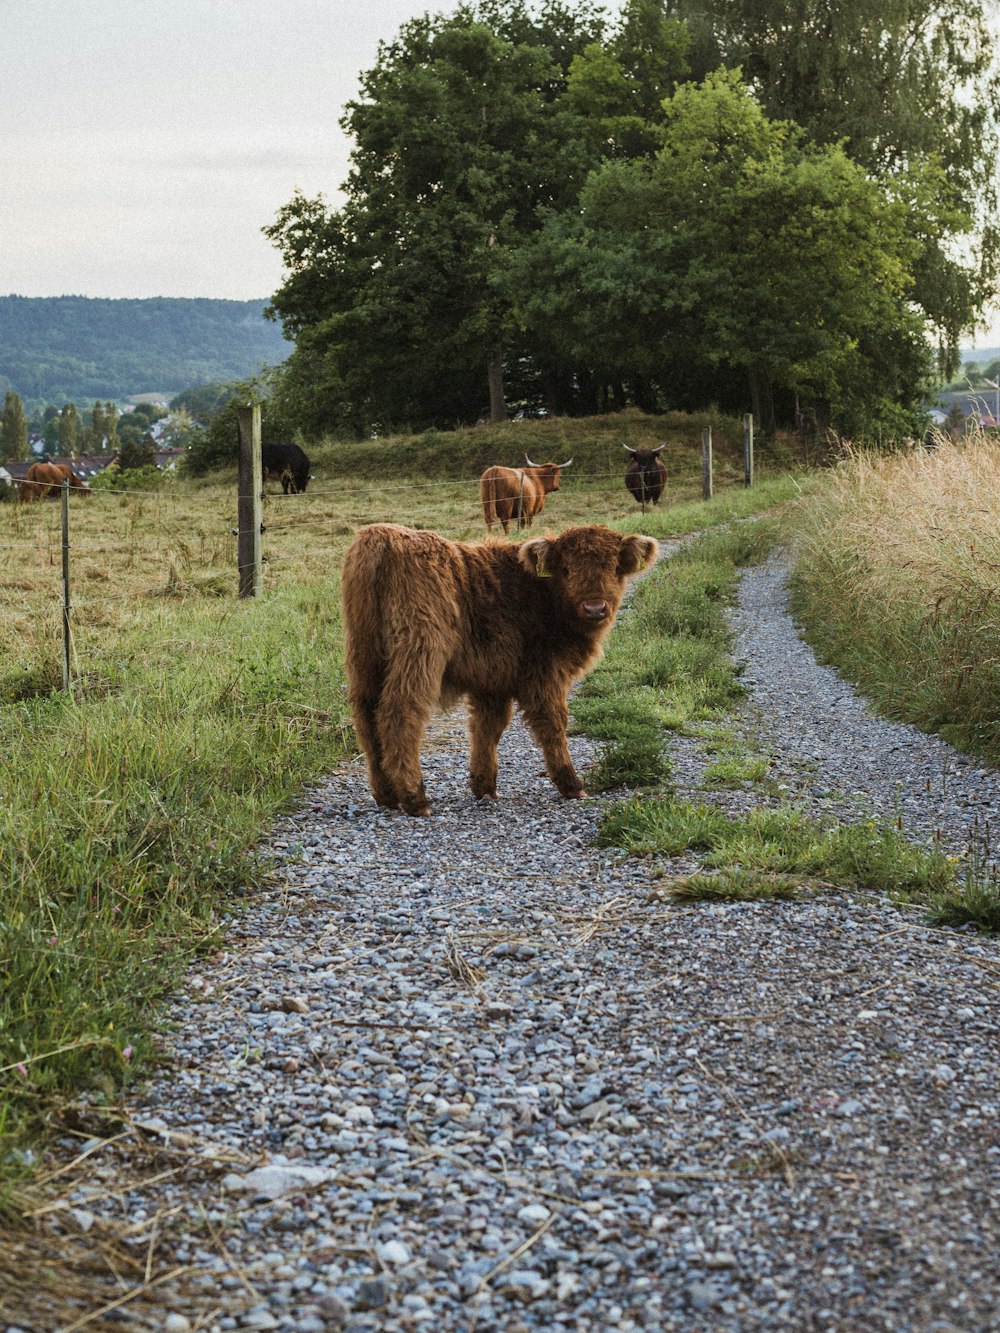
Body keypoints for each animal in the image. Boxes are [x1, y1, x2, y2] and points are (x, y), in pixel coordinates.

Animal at [341, 517, 661, 810]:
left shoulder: (492, 681)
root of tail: (383, 534)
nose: (595, 608)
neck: (542, 594)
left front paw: (484, 787)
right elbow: (554, 723)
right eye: (567, 569)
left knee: (366, 713)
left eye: (614, 567)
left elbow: (488, 728)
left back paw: (386, 794)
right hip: (420, 649)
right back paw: (414, 797)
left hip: (364, 653)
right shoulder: (544, 675)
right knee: (399, 711)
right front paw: (572, 785)